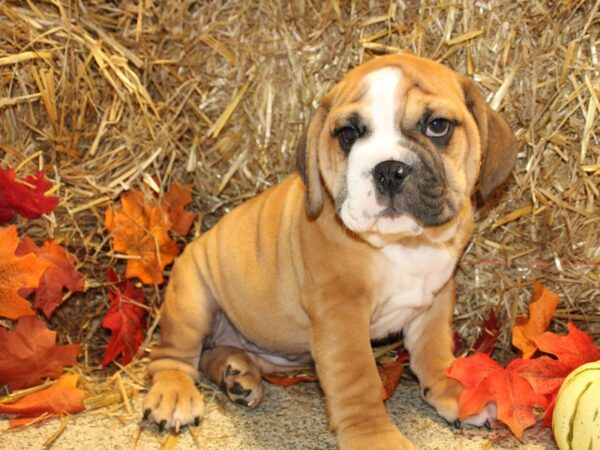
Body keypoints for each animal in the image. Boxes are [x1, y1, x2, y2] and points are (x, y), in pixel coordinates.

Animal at [142, 53, 516, 450]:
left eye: (437, 126)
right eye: (349, 134)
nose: (389, 170)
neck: (404, 244)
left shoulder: (436, 298)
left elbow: (435, 351)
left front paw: (454, 391)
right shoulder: (341, 312)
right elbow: (359, 381)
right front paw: (375, 436)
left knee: (211, 354)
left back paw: (236, 375)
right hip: (191, 301)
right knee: (172, 357)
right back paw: (175, 393)